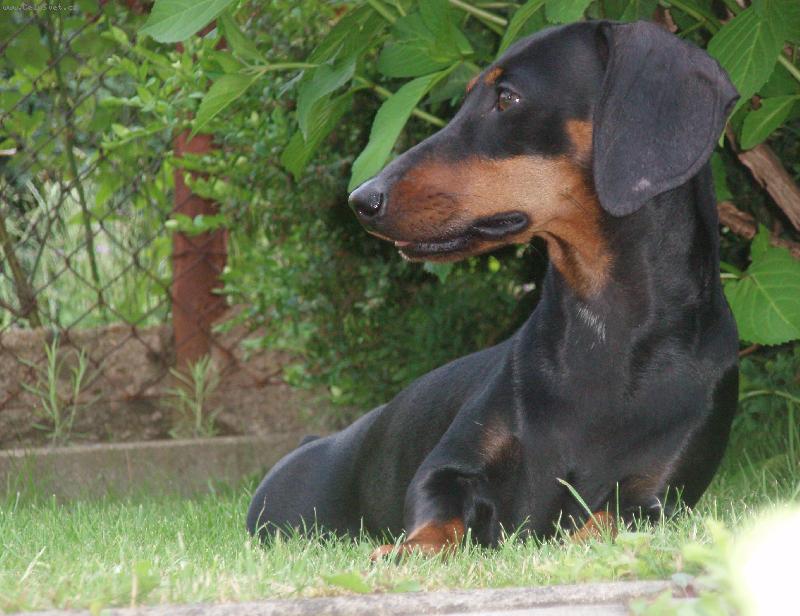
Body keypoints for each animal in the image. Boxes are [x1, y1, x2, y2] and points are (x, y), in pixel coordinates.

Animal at [247, 19, 740, 557]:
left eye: (507, 98)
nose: (362, 200)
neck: (605, 330)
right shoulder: (451, 468)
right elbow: (437, 512)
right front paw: (406, 551)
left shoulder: (655, 496)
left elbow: (605, 525)